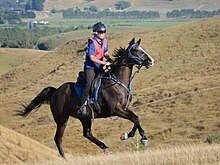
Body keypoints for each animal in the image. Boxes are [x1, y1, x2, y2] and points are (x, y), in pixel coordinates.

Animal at [16, 37, 155, 157]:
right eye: (136, 50)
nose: (151, 61)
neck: (117, 81)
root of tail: (56, 91)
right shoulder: (116, 109)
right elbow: (134, 118)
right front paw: (143, 138)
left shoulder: (124, 109)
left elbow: (136, 118)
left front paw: (128, 135)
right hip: (62, 118)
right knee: (58, 138)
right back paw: (65, 157)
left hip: (85, 117)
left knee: (87, 133)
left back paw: (105, 147)